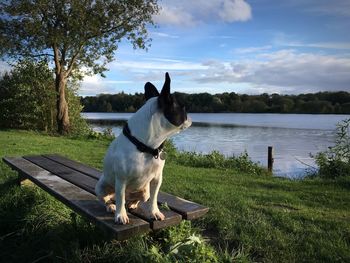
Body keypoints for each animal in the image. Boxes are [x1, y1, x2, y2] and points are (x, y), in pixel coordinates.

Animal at [95, 72, 191, 225]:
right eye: (183, 109)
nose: (189, 117)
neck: (146, 147)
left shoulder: (157, 179)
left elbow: (154, 198)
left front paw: (155, 212)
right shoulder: (121, 180)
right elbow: (120, 198)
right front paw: (120, 215)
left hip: (144, 192)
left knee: (138, 199)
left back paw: (132, 204)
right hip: (101, 188)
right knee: (110, 200)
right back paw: (111, 206)